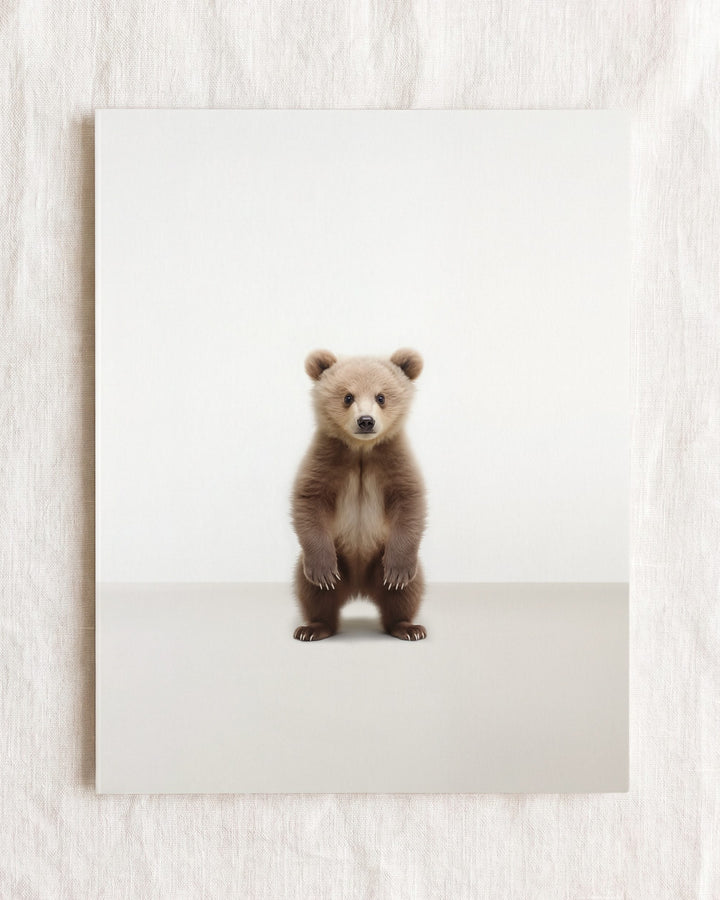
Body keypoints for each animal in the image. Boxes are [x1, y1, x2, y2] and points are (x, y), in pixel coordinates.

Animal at [292, 348, 427, 641]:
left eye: (381, 396)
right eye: (347, 396)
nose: (366, 421)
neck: (361, 450)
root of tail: (358, 589)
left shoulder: (393, 458)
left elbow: (410, 502)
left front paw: (398, 572)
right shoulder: (327, 457)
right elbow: (309, 501)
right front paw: (322, 572)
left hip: (380, 559)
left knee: (406, 592)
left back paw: (408, 627)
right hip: (338, 557)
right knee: (312, 591)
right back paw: (313, 627)